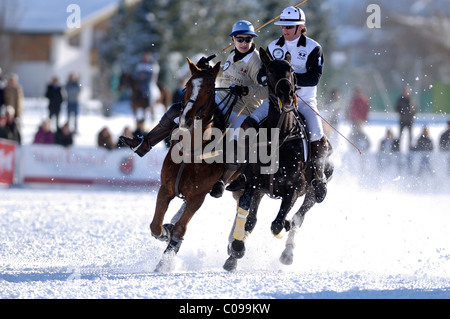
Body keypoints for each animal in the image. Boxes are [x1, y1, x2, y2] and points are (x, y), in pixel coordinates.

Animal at [149, 58, 225, 272]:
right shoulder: (166, 187)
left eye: (209, 89)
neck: (191, 151)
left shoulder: (198, 197)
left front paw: (165, 263)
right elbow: (156, 225)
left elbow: (181, 229)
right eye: (187, 86)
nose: (185, 119)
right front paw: (166, 232)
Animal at [224, 48, 334, 272]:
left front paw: (284, 225)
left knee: (300, 215)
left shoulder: (294, 189)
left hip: (312, 192)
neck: (280, 136)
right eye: (269, 71)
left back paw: (288, 252)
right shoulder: (254, 185)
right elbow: (249, 219)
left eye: (291, 69)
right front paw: (236, 250)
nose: (286, 93)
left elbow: (277, 223)